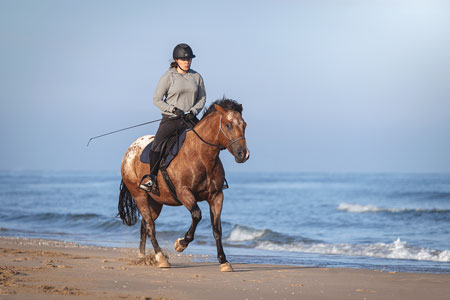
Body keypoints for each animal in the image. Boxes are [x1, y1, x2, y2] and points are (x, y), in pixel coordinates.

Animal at [118, 98, 250, 272]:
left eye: (244, 125)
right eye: (228, 125)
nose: (243, 154)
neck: (201, 156)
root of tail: (129, 151)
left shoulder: (216, 196)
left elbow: (217, 229)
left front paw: (224, 261)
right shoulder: (184, 193)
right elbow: (197, 215)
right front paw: (181, 243)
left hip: (155, 202)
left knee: (144, 225)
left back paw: (142, 256)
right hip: (139, 195)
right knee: (150, 226)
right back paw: (161, 259)